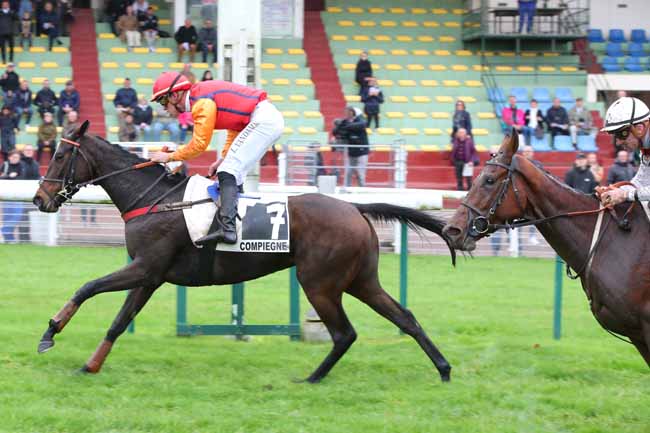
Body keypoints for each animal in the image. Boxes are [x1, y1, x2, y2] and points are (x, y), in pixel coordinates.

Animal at [31, 120, 456, 382]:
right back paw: (443, 368)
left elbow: (87, 287)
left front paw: (50, 332)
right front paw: (90, 365)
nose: (39, 199)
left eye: (59, 156)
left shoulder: (145, 267)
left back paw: (312, 378)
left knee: (344, 333)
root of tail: (354, 207)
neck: (153, 199)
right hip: (360, 280)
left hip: (319, 283)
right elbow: (119, 322)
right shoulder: (150, 276)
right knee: (404, 317)